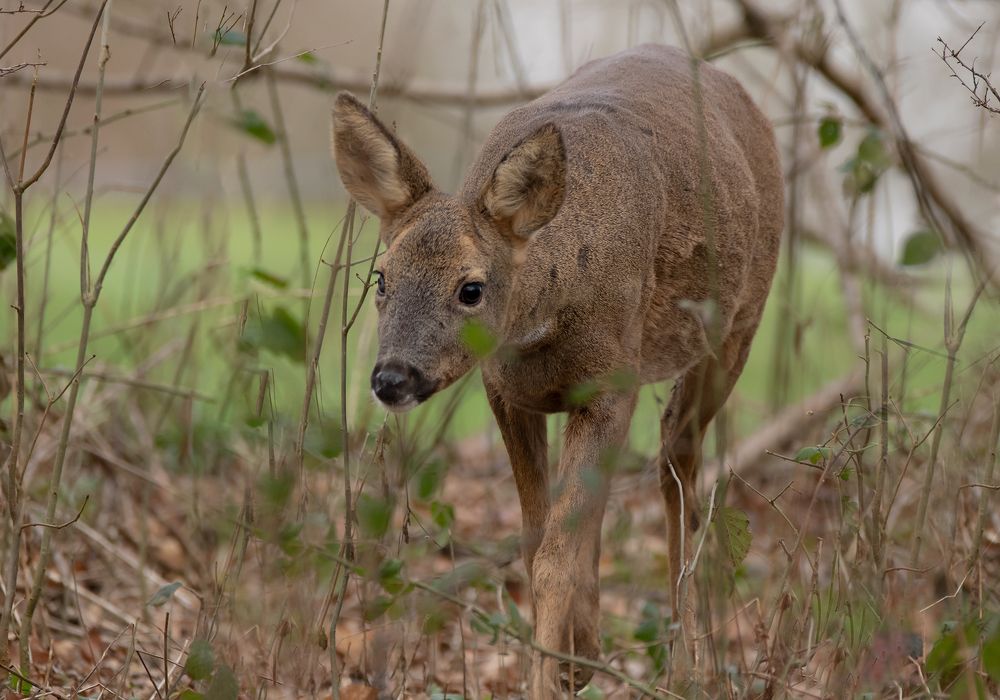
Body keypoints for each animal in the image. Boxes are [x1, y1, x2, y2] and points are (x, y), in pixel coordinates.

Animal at [331, 44, 783, 696]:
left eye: (471, 288)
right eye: (380, 277)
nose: (392, 378)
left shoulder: (612, 383)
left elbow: (554, 559)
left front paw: (545, 679)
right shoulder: (506, 392)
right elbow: (536, 542)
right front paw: (564, 661)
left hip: (738, 325)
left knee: (678, 456)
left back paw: (686, 665)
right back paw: (588, 654)